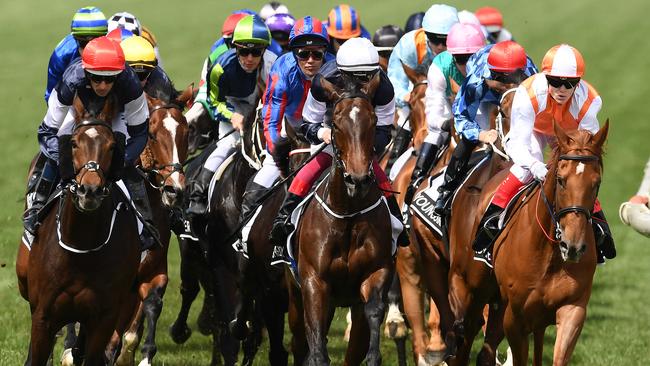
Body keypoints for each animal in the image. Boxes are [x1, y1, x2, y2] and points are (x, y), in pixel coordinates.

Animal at [16, 94, 140, 366]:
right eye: (73, 143)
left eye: (112, 146)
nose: (89, 190)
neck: (81, 246)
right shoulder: (43, 317)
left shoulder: (103, 318)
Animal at [111, 87, 191, 366]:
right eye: (153, 134)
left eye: (186, 132)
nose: (174, 190)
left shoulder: (153, 271)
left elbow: (149, 307)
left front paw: (137, 355)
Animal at [286, 74, 392, 366]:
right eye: (335, 123)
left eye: (374, 121)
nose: (358, 179)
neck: (347, 214)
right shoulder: (313, 283)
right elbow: (316, 348)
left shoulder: (374, 274)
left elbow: (373, 316)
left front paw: (374, 354)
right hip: (296, 296)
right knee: (301, 340)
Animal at [492, 121, 608, 364]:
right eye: (561, 181)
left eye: (597, 183)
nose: (573, 247)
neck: (549, 255)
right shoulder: (513, 318)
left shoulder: (573, 309)